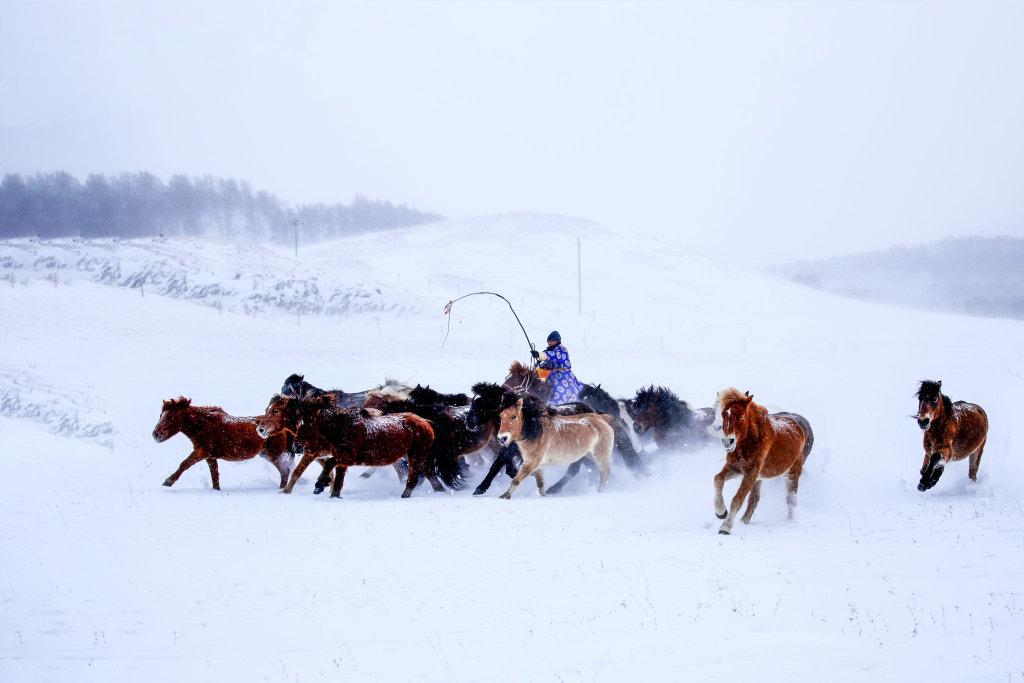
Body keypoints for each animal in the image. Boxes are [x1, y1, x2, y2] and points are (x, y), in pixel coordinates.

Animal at [151, 395, 290, 491]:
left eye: (170, 416)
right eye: (160, 415)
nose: (155, 434)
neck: (201, 425)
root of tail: (284, 428)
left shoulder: (202, 451)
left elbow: (185, 463)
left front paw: (168, 481)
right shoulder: (210, 457)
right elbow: (215, 476)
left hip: (274, 454)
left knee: (285, 471)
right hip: (267, 454)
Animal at [712, 387, 806, 536]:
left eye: (741, 416)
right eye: (723, 415)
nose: (727, 442)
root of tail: (797, 427)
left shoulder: (751, 473)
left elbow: (737, 499)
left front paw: (725, 527)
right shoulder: (735, 469)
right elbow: (718, 479)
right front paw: (721, 512)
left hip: (792, 473)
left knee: (791, 499)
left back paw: (790, 521)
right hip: (760, 479)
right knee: (754, 500)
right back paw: (744, 521)